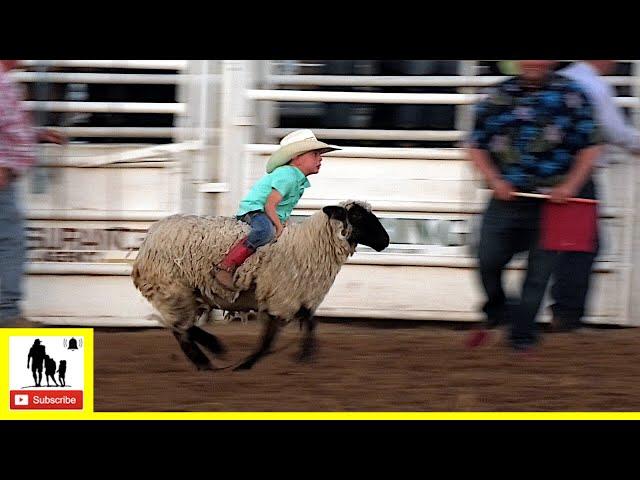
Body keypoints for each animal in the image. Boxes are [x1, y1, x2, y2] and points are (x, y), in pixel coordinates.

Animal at [131, 200, 390, 372]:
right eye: (357, 216)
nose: (385, 241)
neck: (310, 244)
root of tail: (148, 240)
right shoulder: (281, 296)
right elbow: (267, 341)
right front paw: (245, 365)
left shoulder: (299, 298)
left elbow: (310, 325)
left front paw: (306, 358)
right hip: (173, 287)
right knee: (179, 328)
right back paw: (206, 361)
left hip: (184, 292)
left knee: (180, 325)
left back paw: (213, 349)